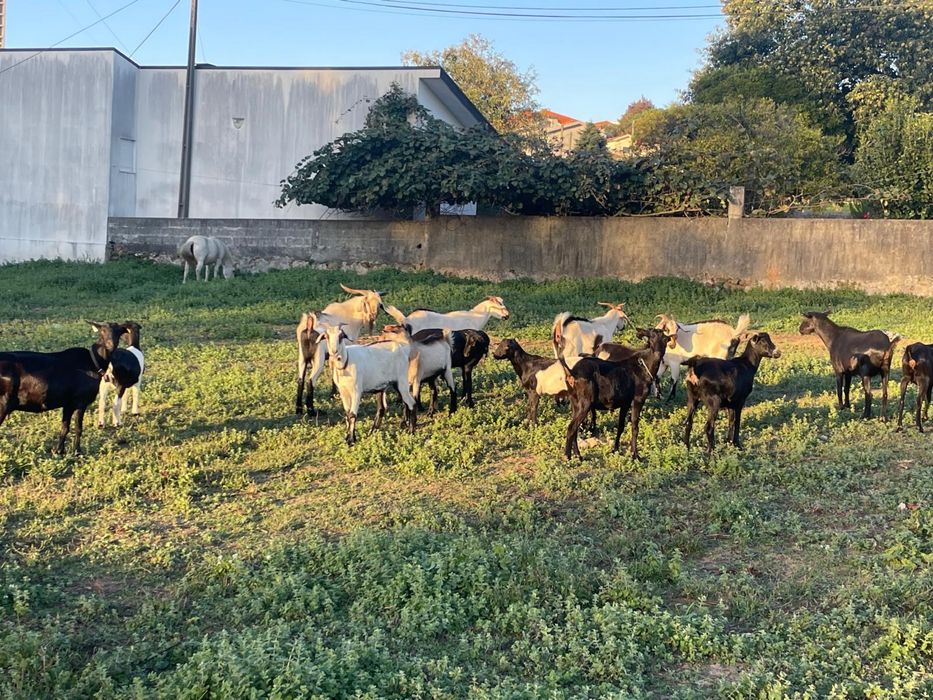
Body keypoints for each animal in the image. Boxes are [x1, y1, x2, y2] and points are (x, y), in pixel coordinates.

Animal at [0, 322, 124, 454]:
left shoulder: (68, 404)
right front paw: (77, 451)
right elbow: (78, 428)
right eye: (102, 331)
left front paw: (59, 451)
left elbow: (65, 427)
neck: (93, 362)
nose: (111, 344)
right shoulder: (81, 401)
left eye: (118, 331)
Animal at [558, 328, 671, 461]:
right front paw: (635, 455)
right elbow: (635, 427)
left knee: (575, 428)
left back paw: (578, 456)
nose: (658, 355)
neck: (643, 366)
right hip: (584, 403)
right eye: (651, 339)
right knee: (572, 428)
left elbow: (621, 426)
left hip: (575, 402)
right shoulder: (638, 399)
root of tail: (571, 372)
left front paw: (615, 449)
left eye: (664, 339)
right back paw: (567, 456)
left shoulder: (625, 403)